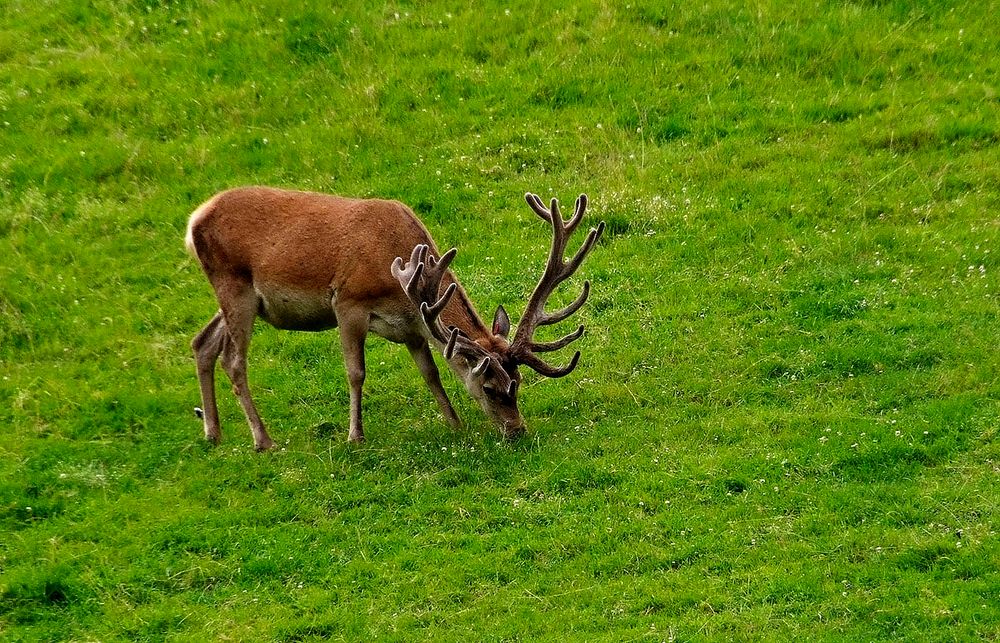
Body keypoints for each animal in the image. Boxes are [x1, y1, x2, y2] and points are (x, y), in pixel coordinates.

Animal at [185, 186, 604, 448]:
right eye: (489, 388)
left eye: (518, 384)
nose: (516, 430)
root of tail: (193, 220)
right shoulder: (348, 302)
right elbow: (356, 373)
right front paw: (355, 437)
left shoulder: (414, 324)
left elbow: (431, 372)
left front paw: (455, 424)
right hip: (233, 285)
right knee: (234, 361)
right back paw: (264, 440)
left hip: (242, 298)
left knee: (202, 342)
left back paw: (212, 432)